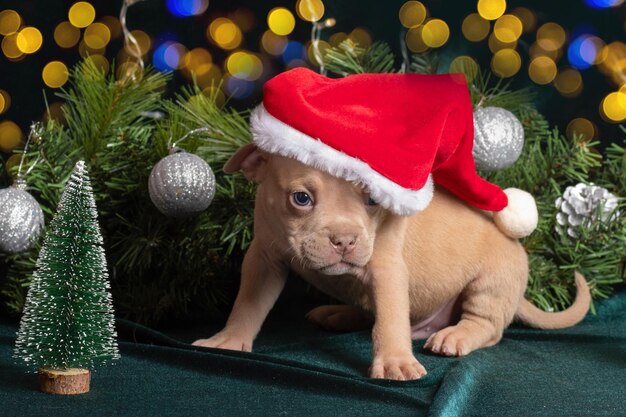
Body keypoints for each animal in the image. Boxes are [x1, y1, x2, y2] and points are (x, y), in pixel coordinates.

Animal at [191, 145, 588, 380]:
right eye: (301, 198)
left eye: (372, 199)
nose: (345, 240)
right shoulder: (263, 258)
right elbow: (248, 304)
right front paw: (229, 339)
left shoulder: (386, 269)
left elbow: (389, 322)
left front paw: (395, 361)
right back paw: (338, 313)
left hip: (490, 282)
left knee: (487, 326)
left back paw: (456, 335)